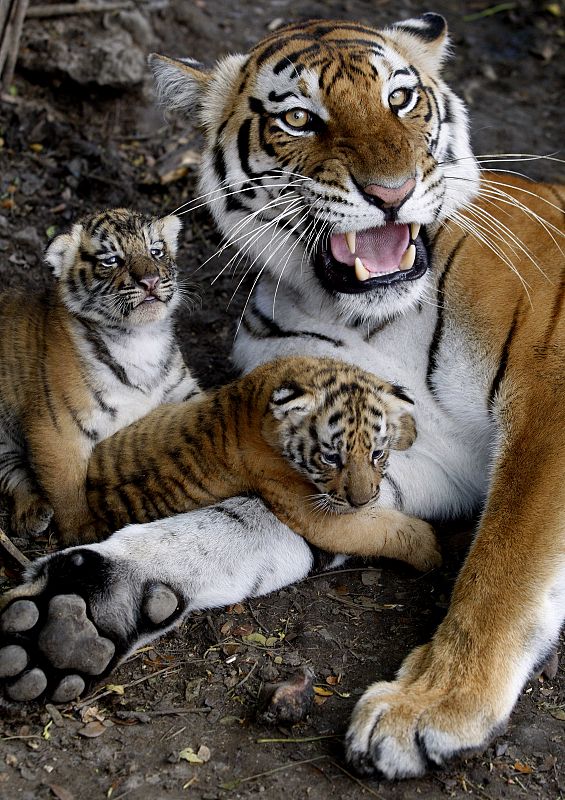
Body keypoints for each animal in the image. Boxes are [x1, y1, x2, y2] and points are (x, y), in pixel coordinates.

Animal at [1, 10, 564, 776]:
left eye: (400, 100)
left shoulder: (546, 402)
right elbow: (233, 524)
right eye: (299, 118)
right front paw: (77, 612)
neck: (371, 314)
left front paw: (429, 707)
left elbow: (504, 562)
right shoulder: (374, 449)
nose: (391, 191)